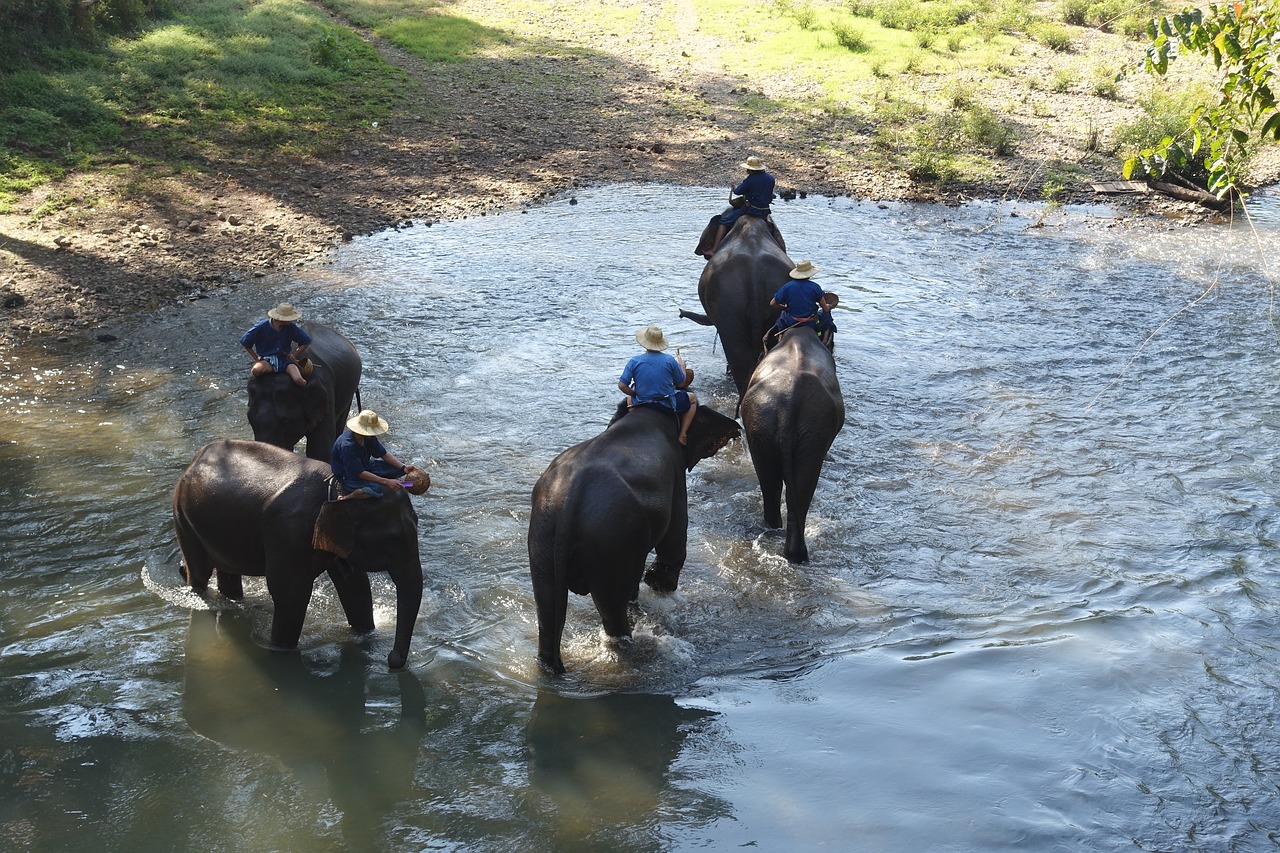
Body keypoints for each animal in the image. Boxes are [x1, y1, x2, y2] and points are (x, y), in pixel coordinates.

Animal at [174, 435, 424, 666]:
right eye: (392, 540)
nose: (392, 659)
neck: (338, 488)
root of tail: (195, 459)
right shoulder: (288, 534)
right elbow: (290, 595)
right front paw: (282, 652)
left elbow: (356, 586)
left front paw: (367, 637)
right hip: (183, 518)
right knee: (199, 573)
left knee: (227, 572)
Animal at [527, 399, 742, 671]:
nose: (739, 433)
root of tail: (568, 503)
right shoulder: (676, 475)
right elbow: (675, 534)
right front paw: (660, 586)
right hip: (610, 542)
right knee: (613, 609)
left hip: (543, 536)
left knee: (547, 605)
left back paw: (551, 668)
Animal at [737, 324, 844, 558]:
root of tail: (789, 405)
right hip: (810, 432)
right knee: (797, 484)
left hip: (764, 426)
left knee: (777, 483)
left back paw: (785, 541)